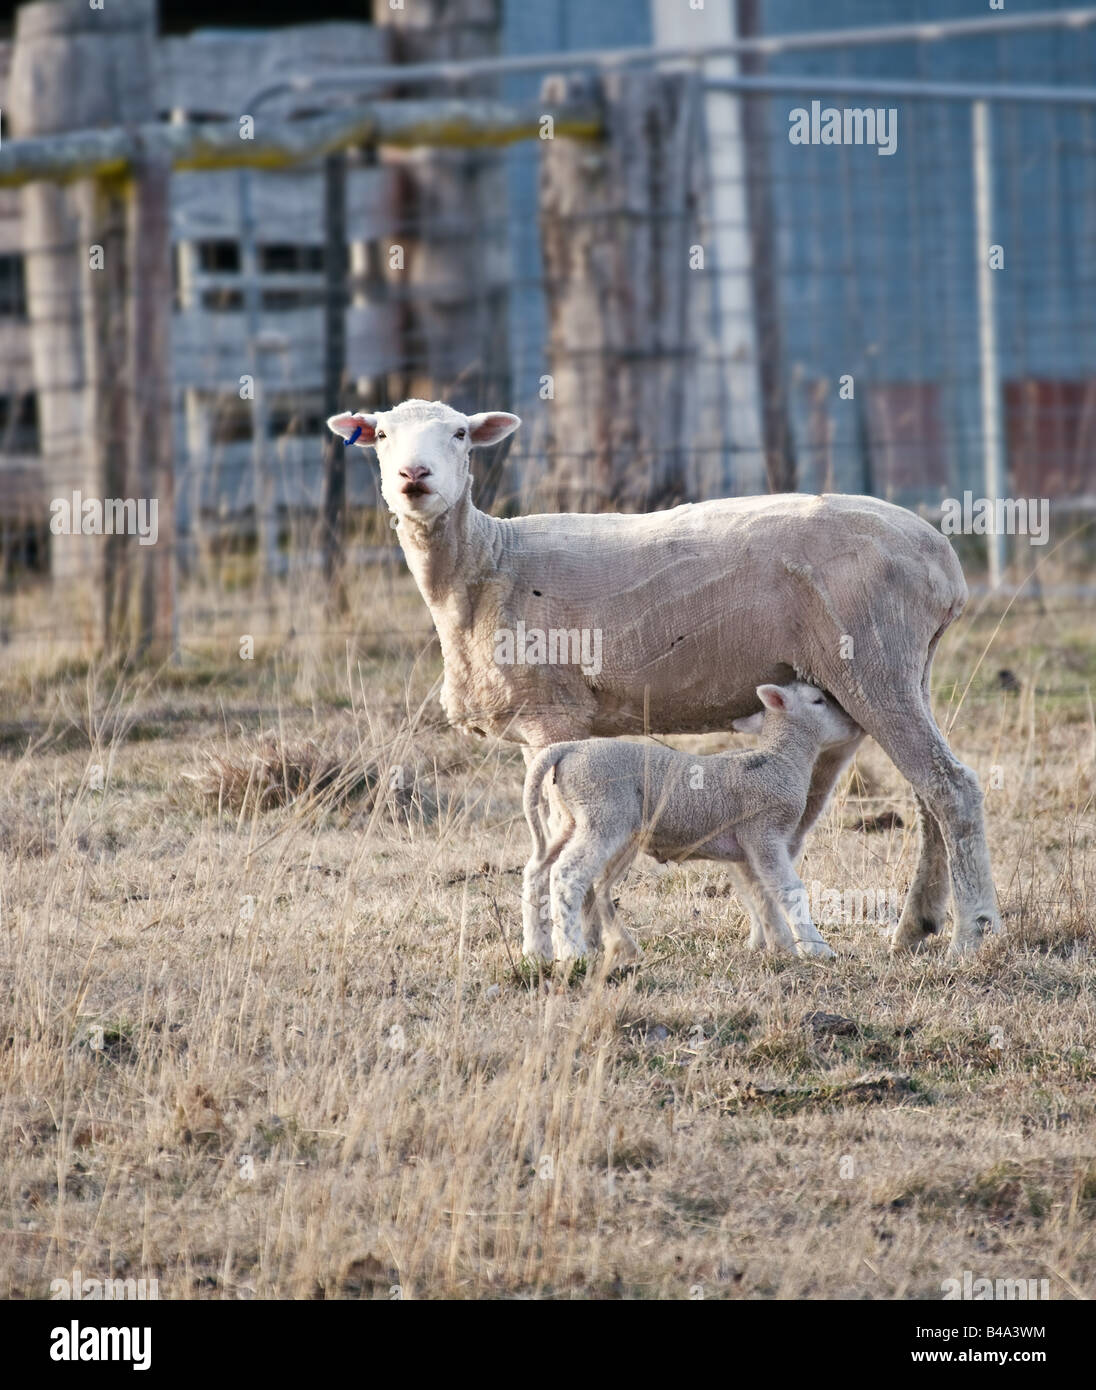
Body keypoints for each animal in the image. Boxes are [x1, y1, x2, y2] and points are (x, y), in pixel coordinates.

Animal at [521, 681, 862, 964]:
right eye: (818, 700)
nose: (851, 724)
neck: (781, 759)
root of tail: (568, 748)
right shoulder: (764, 831)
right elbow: (789, 889)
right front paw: (818, 949)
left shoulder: (744, 852)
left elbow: (760, 896)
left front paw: (779, 945)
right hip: (602, 815)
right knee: (567, 874)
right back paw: (571, 952)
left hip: (572, 820)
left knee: (538, 871)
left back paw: (536, 950)